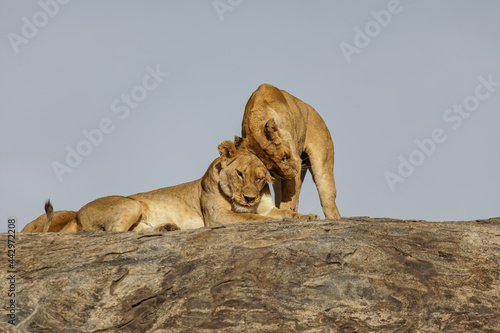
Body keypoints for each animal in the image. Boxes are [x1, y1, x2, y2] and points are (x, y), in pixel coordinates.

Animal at [21, 137, 318, 231]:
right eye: (240, 174)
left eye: (260, 178)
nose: (249, 198)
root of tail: (77, 215)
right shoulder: (218, 217)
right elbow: (256, 219)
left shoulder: (266, 206)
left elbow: (283, 212)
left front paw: (308, 216)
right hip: (130, 205)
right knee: (114, 232)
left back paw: (167, 228)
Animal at [240, 83, 342, 218]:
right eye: (271, 170)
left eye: (284, 157)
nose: (293, 173)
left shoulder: (296, 159)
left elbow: (289, 193)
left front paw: (288, 211)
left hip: (322, 168)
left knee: (329, 204)